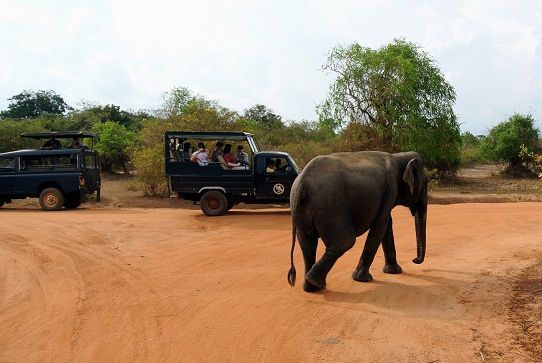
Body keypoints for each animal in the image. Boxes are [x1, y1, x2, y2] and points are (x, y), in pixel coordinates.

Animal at [288, 151, 430, 292]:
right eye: (426, 182)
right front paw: (362, 279)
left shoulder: (387, 193)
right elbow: (381, 224)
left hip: (303, 210)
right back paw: (314, 281)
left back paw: (312, 287)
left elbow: (386, 223)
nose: (414, 260)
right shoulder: (391, 189)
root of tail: (302, 182)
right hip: (330, 207)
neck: (398, 156)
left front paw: (394, 271)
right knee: (344, 242)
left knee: (307, 245)